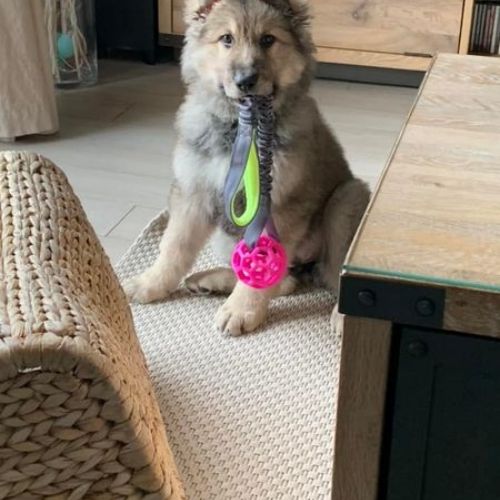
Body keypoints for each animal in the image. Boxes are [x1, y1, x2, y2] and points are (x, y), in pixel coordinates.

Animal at [124, 0, 370, 335]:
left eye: (268, 40)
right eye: (227, 39)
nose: (245, 81)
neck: (239, 125)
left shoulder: (278, 205)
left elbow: (260, 266)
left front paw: (242, 310)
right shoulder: (194, 194)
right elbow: (174, 245)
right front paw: (150, 283)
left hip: (346, 199)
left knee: (324, 275)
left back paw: (343, 318)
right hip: (226, 229)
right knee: (285, 281)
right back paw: (208, 281)